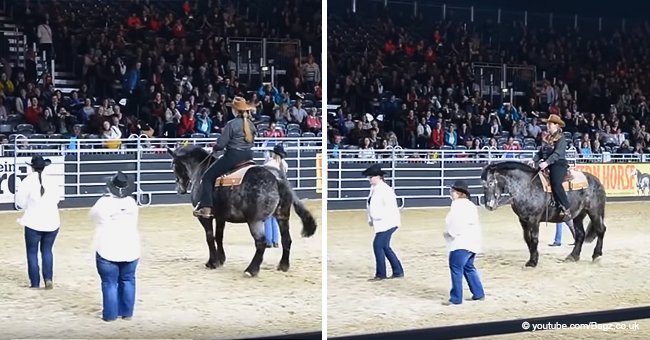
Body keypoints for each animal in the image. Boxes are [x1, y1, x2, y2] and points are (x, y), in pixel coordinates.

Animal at [167, 144, 316, 276]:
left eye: (173, 165)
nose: (179, 189)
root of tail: (277, 177)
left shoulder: (204, 217)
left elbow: (209, 237)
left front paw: (212, 262)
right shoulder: (220, 217)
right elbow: (219, 236)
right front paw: (221, 259)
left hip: (255, 221)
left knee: (261, 242)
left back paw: (251, 270)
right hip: (282, 216)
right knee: (286, 240)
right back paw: (283, 266)